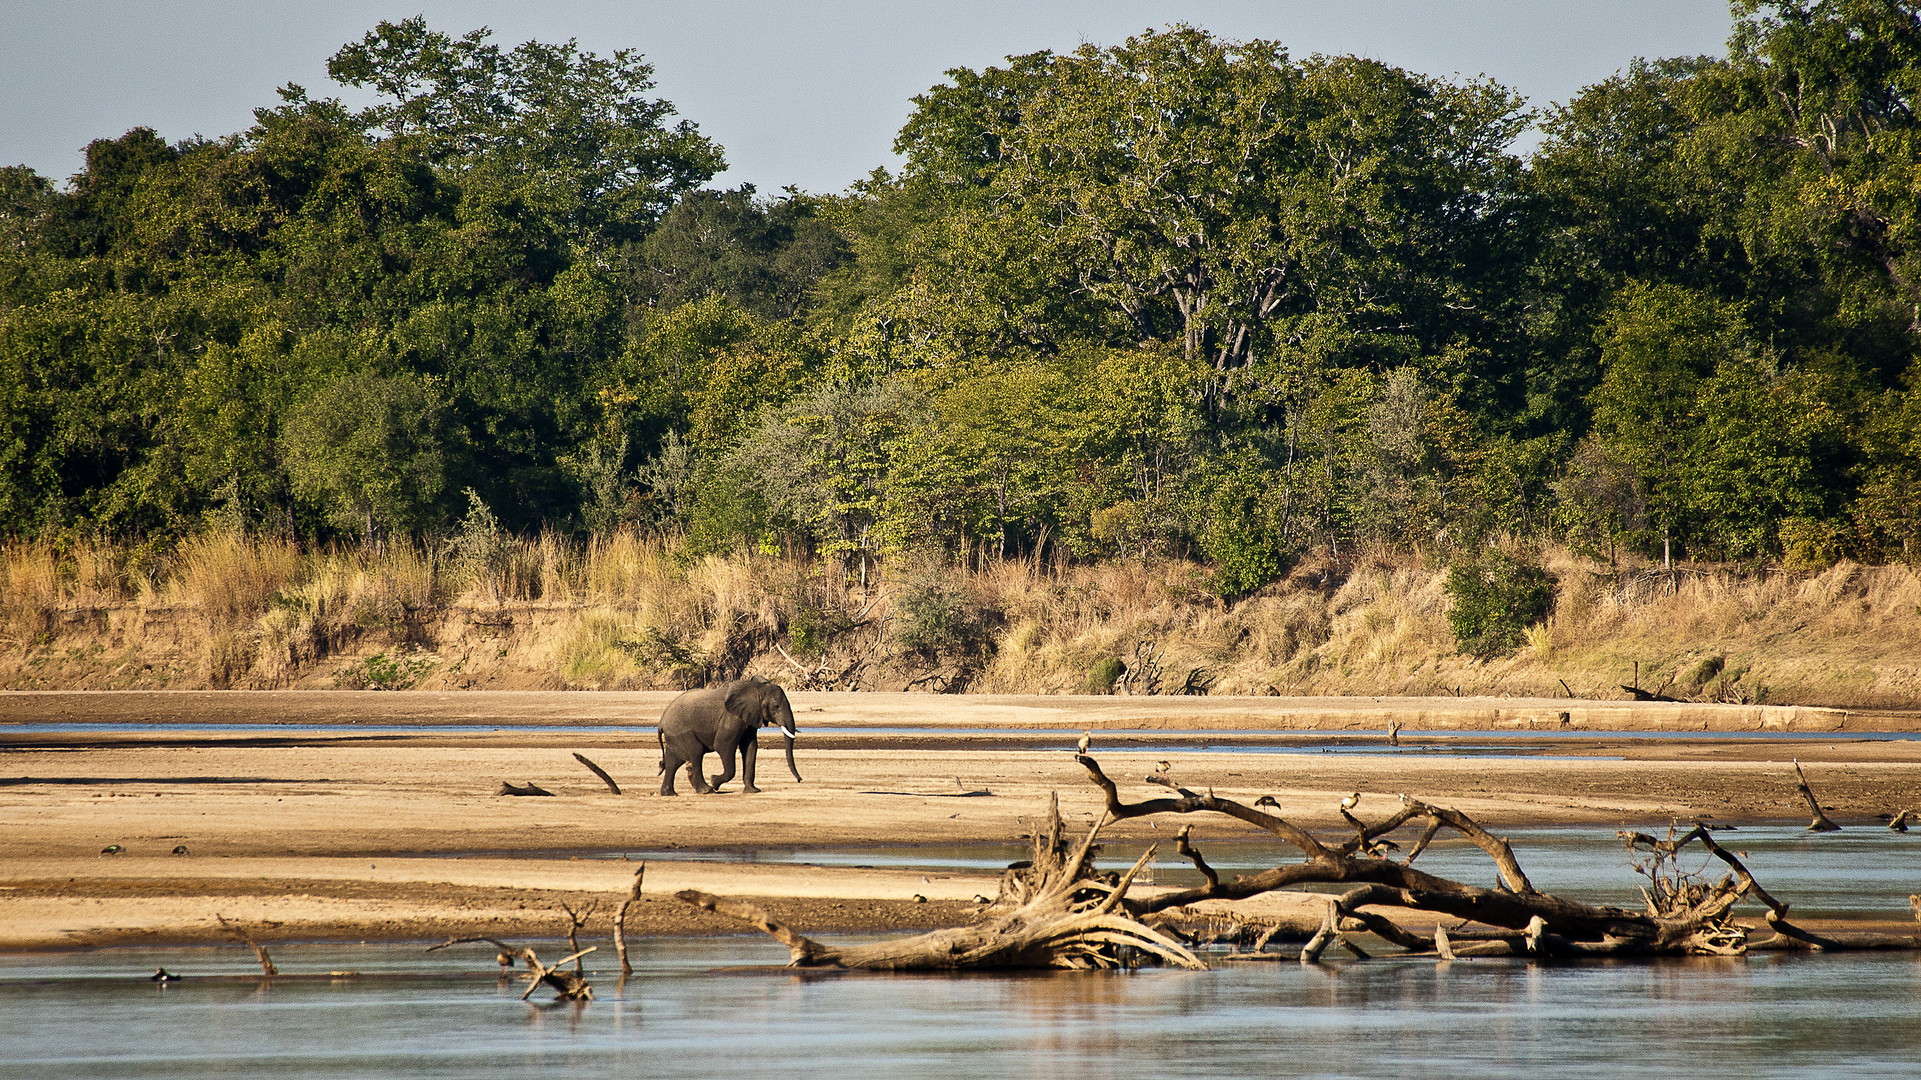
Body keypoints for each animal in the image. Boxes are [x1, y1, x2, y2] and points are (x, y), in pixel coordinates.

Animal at [656, 672, 799, 791]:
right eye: (776, 707)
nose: (799, 780)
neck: (755, 688)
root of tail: (661, 722)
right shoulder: (731, 718)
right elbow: (723, 745)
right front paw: (714, 782)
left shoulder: (749, 717)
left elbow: (750, 746)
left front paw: (753, 791)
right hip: (681, 732)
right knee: (695, 752)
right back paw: (706, 790)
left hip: (674, 735)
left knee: (673, 762)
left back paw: (670, 793)